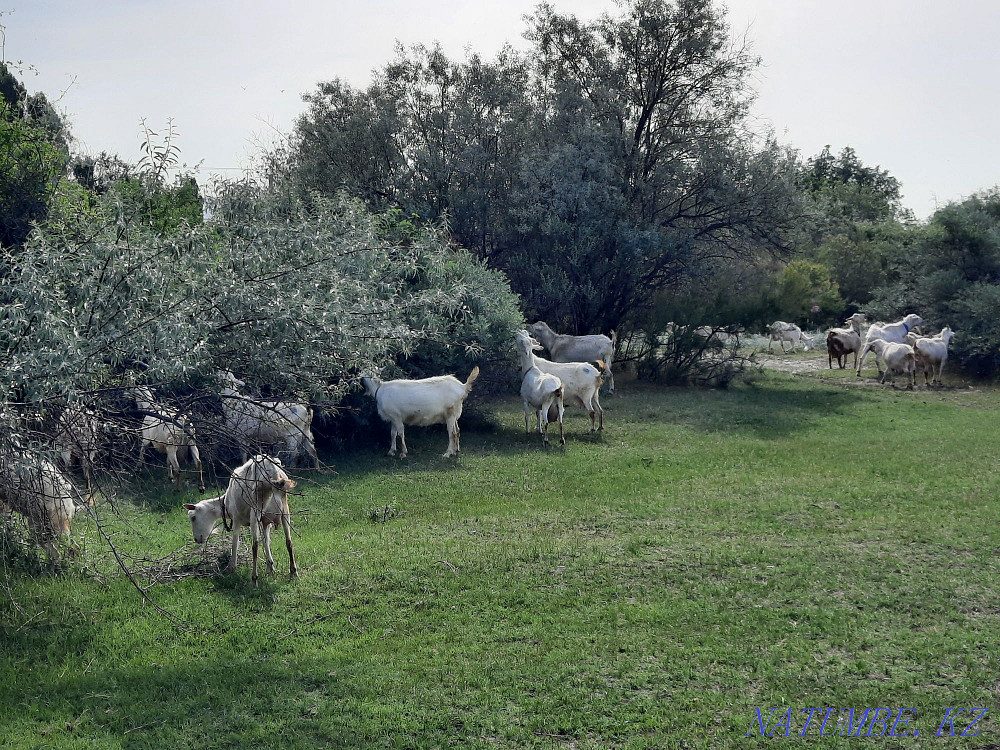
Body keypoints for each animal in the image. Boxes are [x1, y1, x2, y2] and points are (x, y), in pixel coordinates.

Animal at [184, 455, 296, 585]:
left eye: (193, 517)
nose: (197, 539)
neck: (225, 503)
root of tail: (273, 471)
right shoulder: (265, 522)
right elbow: (266, 541)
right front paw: (271, 568)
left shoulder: (237, 519)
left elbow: (235, 543)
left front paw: (232, 567)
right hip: (284, 510)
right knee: (289, 541)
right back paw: (293, 571)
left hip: (255, 510)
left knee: (255, 545)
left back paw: (254, 578)